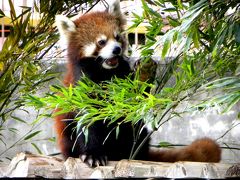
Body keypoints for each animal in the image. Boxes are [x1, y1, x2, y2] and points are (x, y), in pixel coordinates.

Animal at [54, 0, 221, 167]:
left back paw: (133, 155)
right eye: (101, 42)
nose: (117, 49)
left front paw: (145, 72)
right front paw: (93, 154)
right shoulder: (82, 86)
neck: (106, 72)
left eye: (117, 37)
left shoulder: (122, 78)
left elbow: (134, 99)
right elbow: (87, 122)